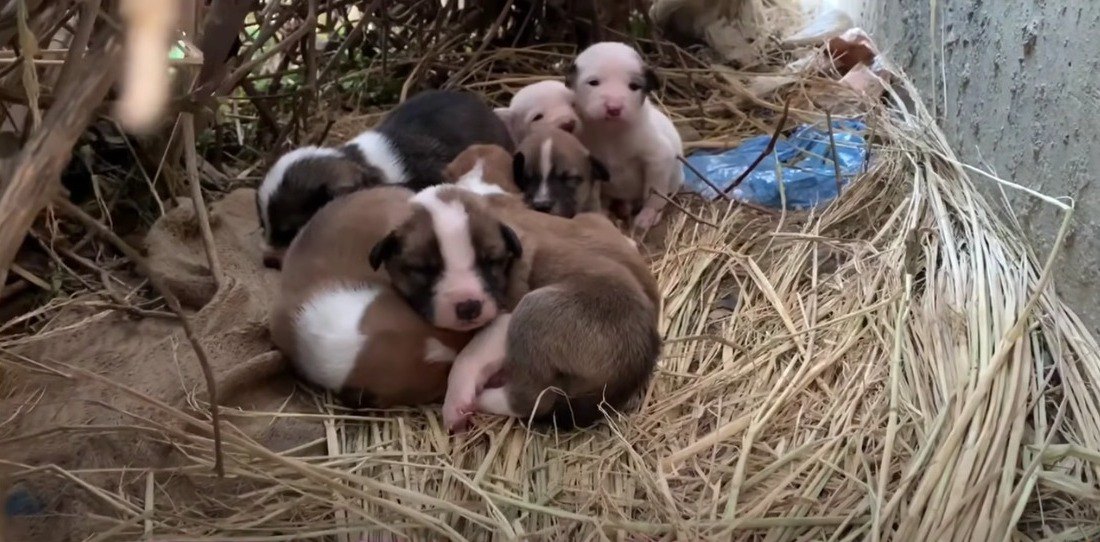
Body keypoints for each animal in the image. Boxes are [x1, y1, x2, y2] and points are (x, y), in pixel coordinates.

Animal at [563, 40, 682, 229]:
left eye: (633, 86)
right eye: (593, 82)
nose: (614, 108)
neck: (611, 131)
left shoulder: (659, 158)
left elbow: (654, 192)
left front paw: (648, 215)